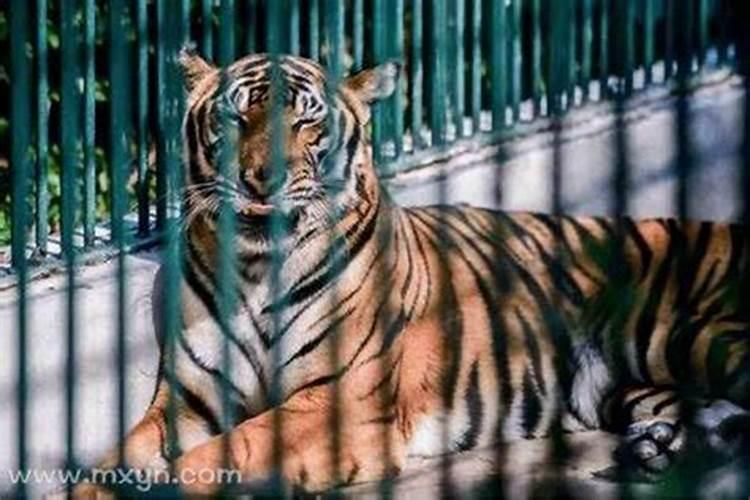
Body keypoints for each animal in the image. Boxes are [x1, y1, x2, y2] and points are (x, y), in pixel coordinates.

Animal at [71, 49, 750, 497]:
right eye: (236, 119)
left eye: (306, 121)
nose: (261, 180)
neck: (258, 265)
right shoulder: (188, 402)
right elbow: (112, 460)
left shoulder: (338, 404)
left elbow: (231, 449)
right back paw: (659, 449)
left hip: (697, 336)